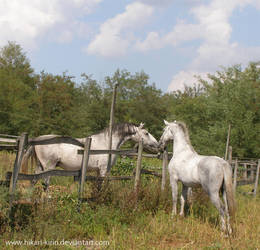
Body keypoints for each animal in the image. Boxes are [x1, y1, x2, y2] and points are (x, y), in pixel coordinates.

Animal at [21, 123, 158, 189]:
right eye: (146, 133)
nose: (157, 144)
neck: (107, 143)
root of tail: (38, 139)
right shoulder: (103, 170)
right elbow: (101, 186)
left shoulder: (98, 171)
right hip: (48, 167)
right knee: (45, 184)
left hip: (40, 166)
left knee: (34, 181)